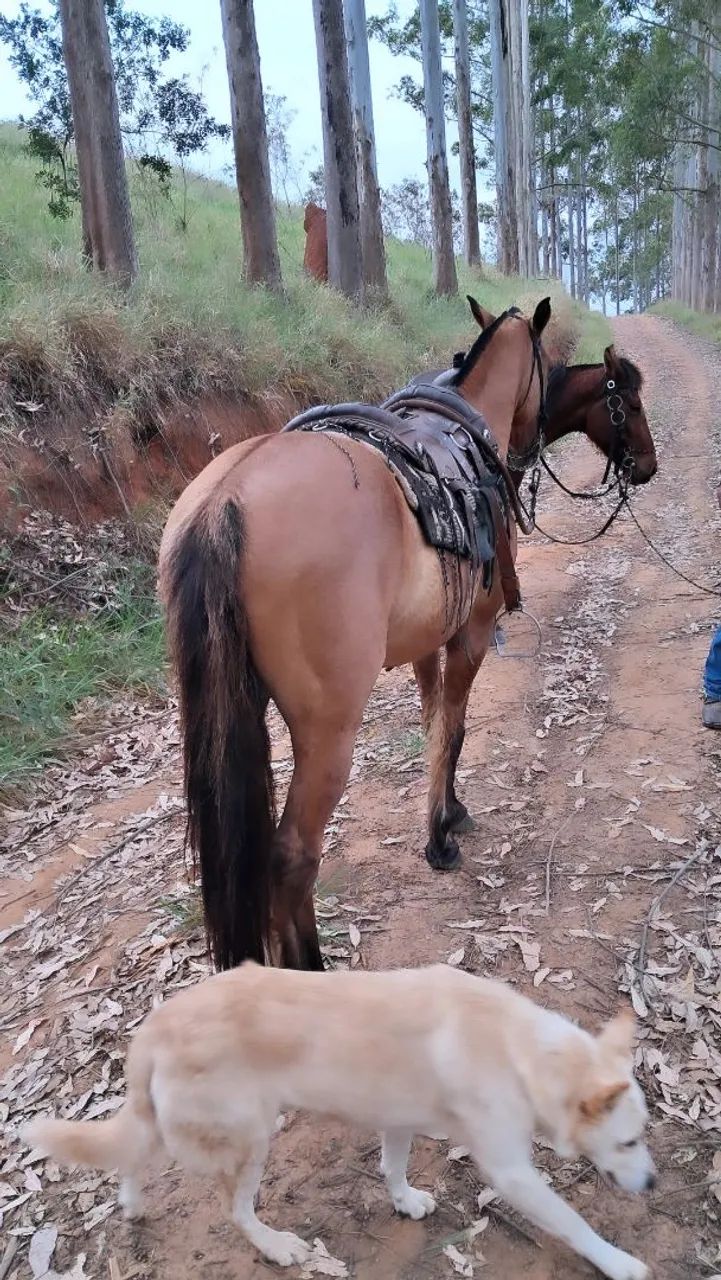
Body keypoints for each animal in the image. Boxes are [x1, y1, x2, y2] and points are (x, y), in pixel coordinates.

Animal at [159, 299, 552, 973]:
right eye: (548, 367)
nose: (530, 448)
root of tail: (223, 503)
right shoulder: (469, 634)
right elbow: (455, 727)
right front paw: (442, 833)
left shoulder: (427, 642)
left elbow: (434, 726)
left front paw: (444, 816)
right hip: (329, 732)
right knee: (291, 859)